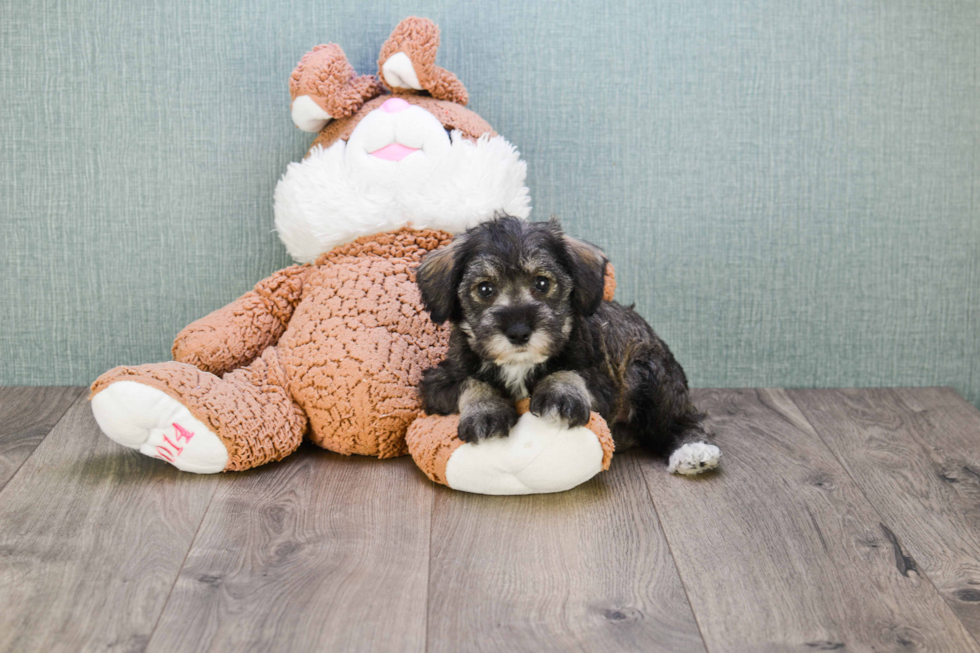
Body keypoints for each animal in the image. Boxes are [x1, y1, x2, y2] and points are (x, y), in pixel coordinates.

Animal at [414, 214, 720, 474]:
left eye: (542, 283)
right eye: (485, 289)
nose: (518, 332)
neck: (519, 366)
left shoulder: (604, 386)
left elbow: (567, 371)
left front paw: (561, 395)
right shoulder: (439, 382)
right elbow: (473, 382)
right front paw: (485, 413)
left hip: (649, 371)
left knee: (680, 419)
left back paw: (693, 450)